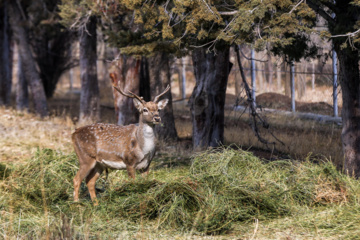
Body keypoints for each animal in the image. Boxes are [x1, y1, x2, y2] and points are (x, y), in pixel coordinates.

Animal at [72, 72, 171, 204]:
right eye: (145, 109)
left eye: (158, 109)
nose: (157, 118)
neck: (143, 149)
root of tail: (73, 134)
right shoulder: (129, 161)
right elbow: (133, 183)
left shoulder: (147, 165)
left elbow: (145, 183)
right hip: (85, 158)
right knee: (76, 179)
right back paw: (76, 204)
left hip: (99, 164)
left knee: (89, 181)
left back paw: (96, 204)